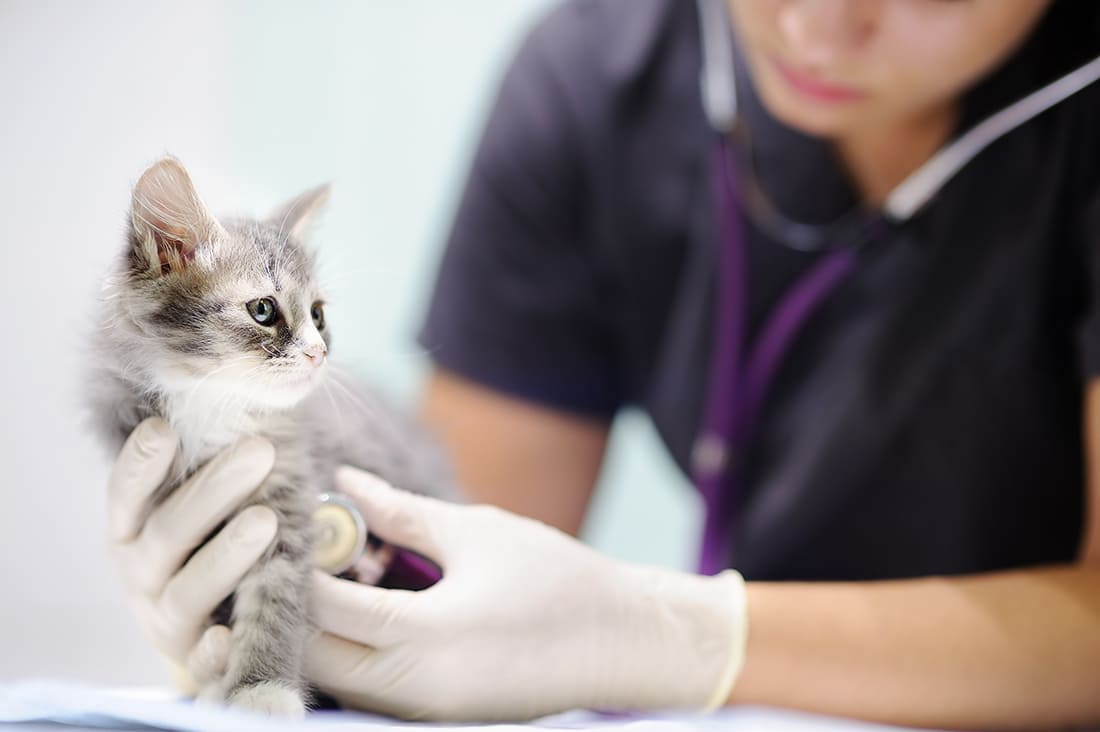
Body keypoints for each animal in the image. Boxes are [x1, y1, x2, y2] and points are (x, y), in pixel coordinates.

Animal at [85, 158, 455, 713]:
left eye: (318, 315)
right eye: (263, 310)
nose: (318, 353)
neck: (216, 409)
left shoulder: (289, 495)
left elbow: (273, 605)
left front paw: (261, 689)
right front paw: (218, 677)